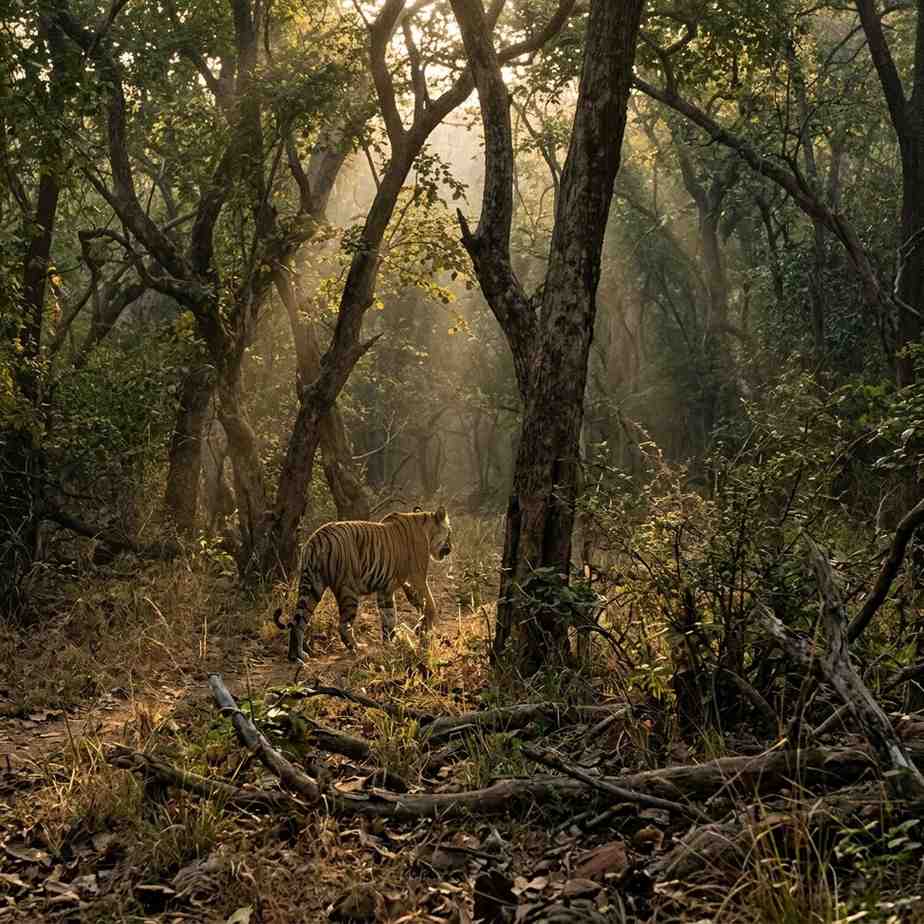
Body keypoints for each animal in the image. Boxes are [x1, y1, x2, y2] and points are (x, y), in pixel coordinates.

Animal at [273, 506, 452, 661]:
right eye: (449, 533)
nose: (451, 548)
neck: (425, 528)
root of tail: (316, 540)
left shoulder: (388, 588)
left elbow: (390, 616)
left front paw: (391, 642)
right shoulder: (418, 578)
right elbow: (430, 603)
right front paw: (425, 627)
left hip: (312, 587)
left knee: (299, 622)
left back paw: (297, 656)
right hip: (348, 590)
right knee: (343, 625)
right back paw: (356, 647)